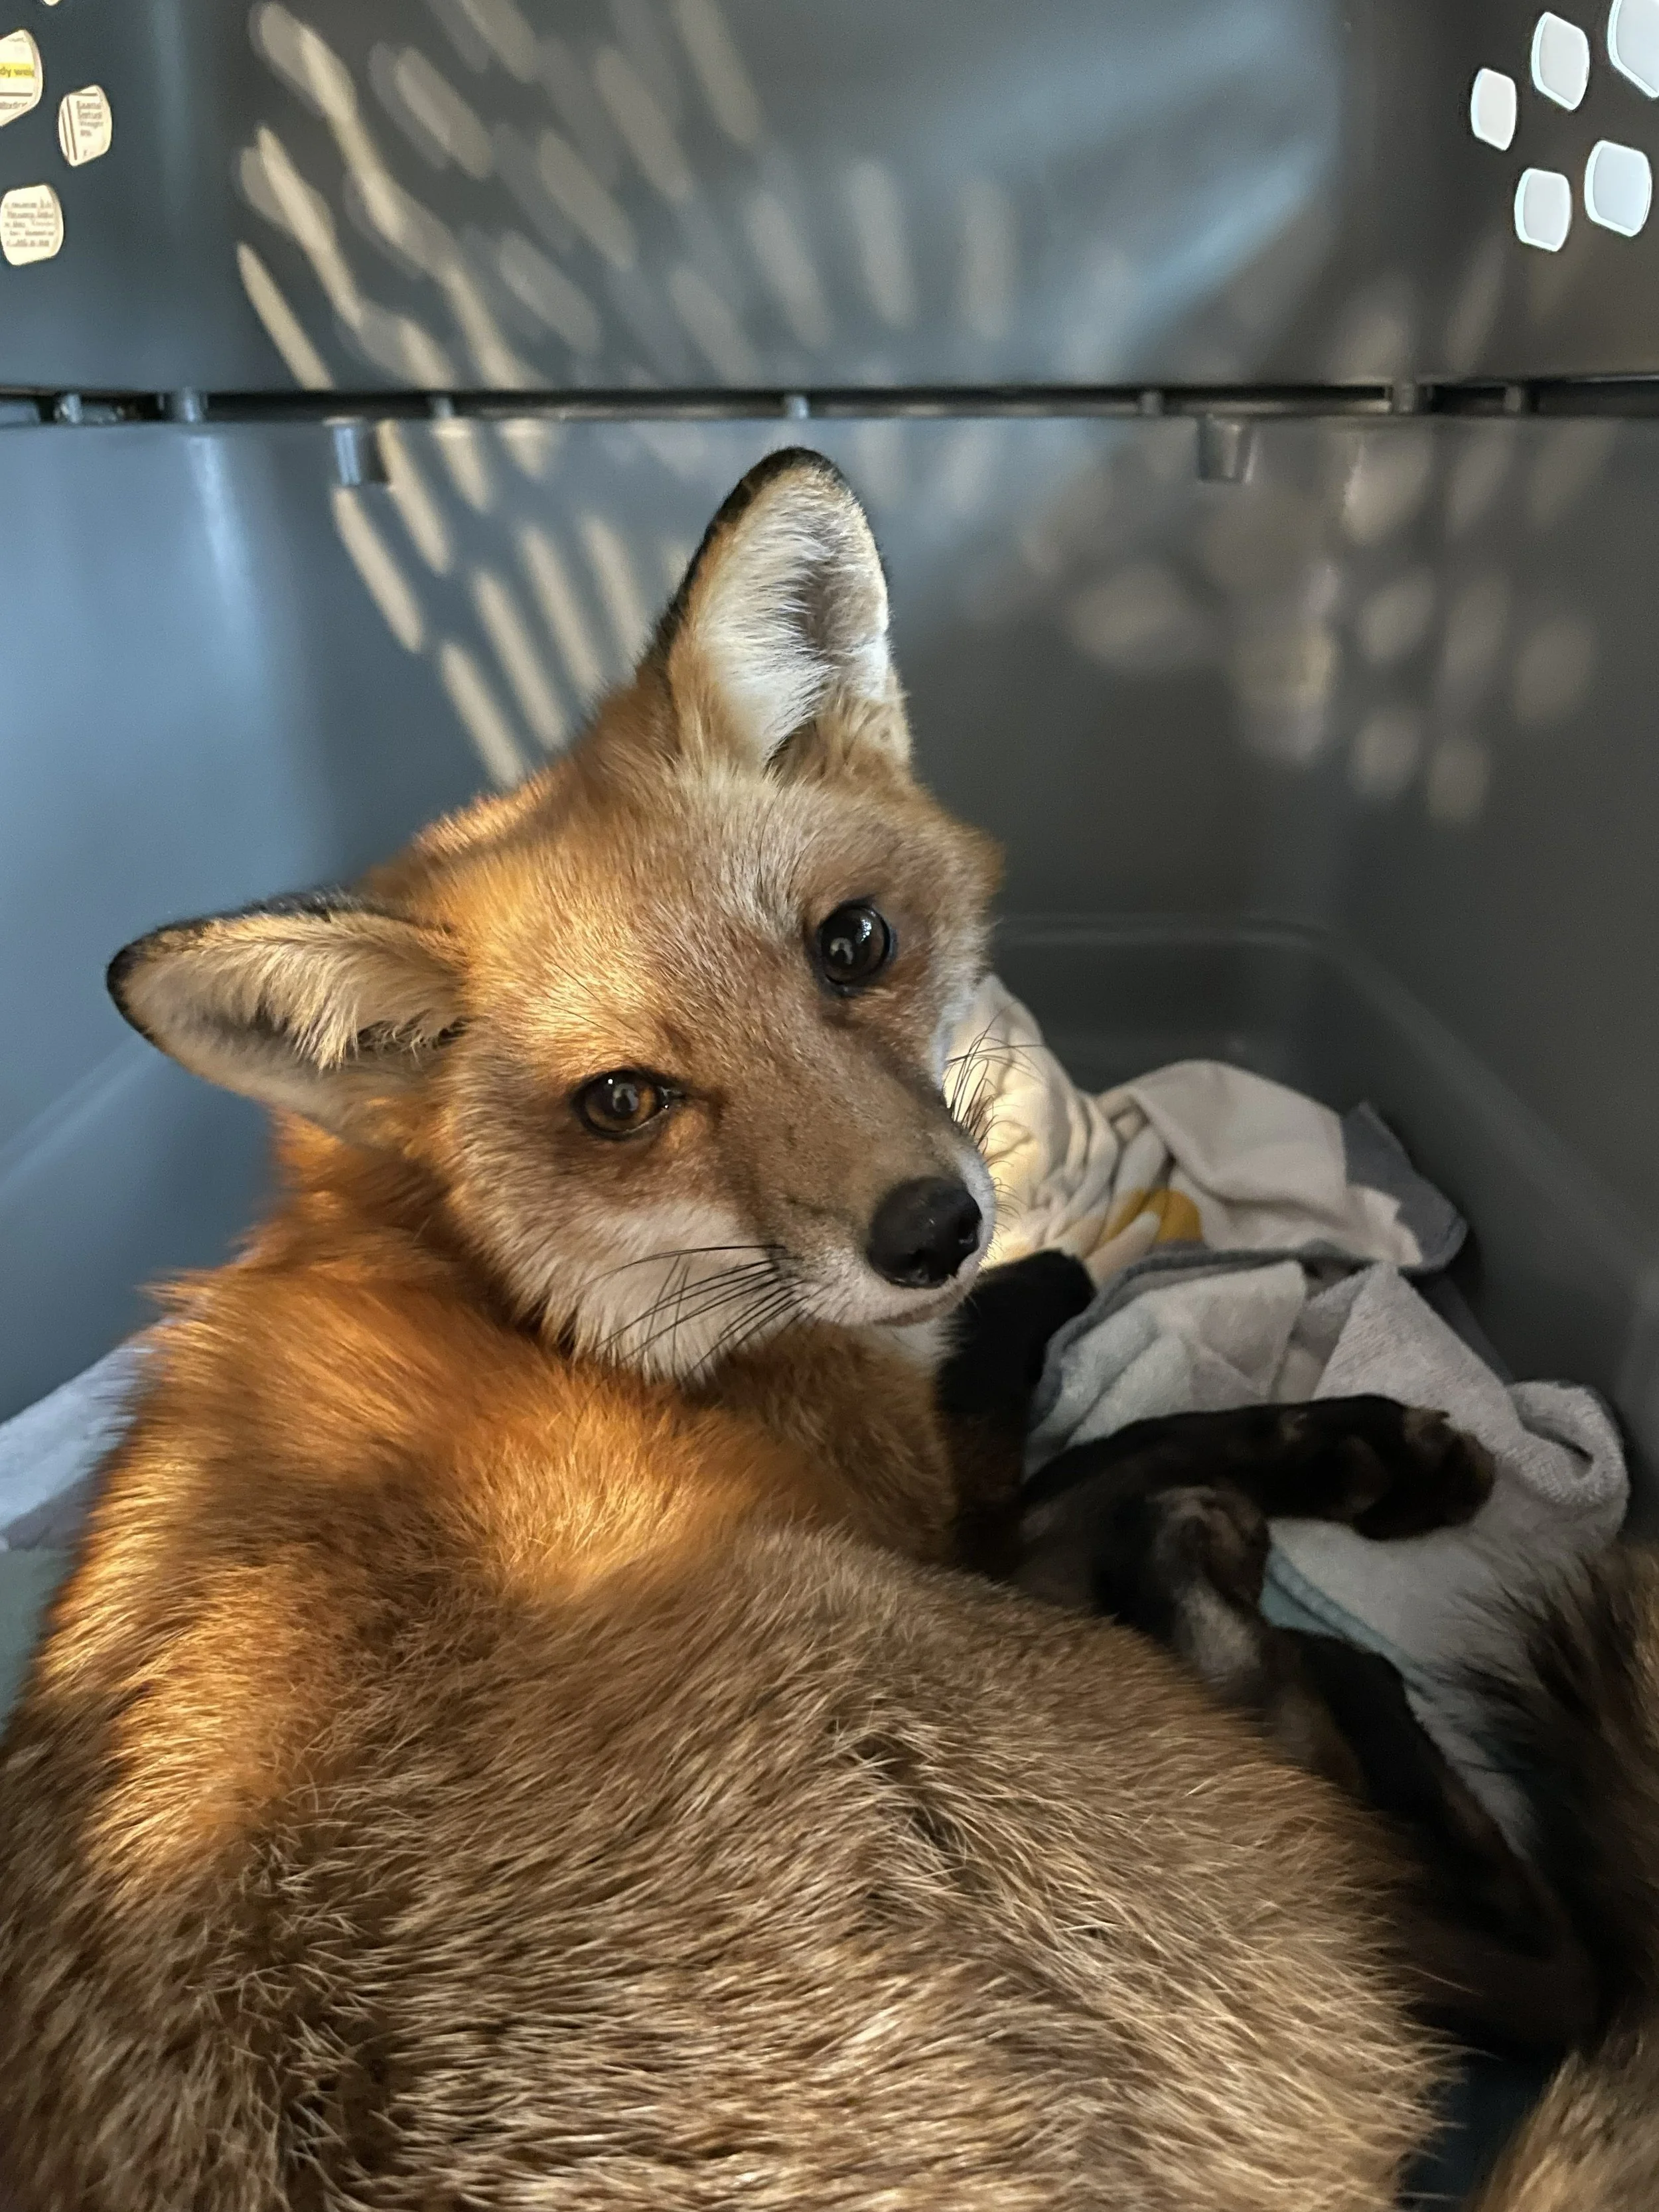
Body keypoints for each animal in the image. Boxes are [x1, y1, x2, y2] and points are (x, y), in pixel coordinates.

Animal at [0, 446, 1507, 2209]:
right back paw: (1293, 1643)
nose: (932, 1231)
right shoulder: (942, 1518)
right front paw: (1338, 1442)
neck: (515, 1291)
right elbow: (1102, 1413)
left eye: (852, 942)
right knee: (1509, 1946)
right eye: (624, 1102)